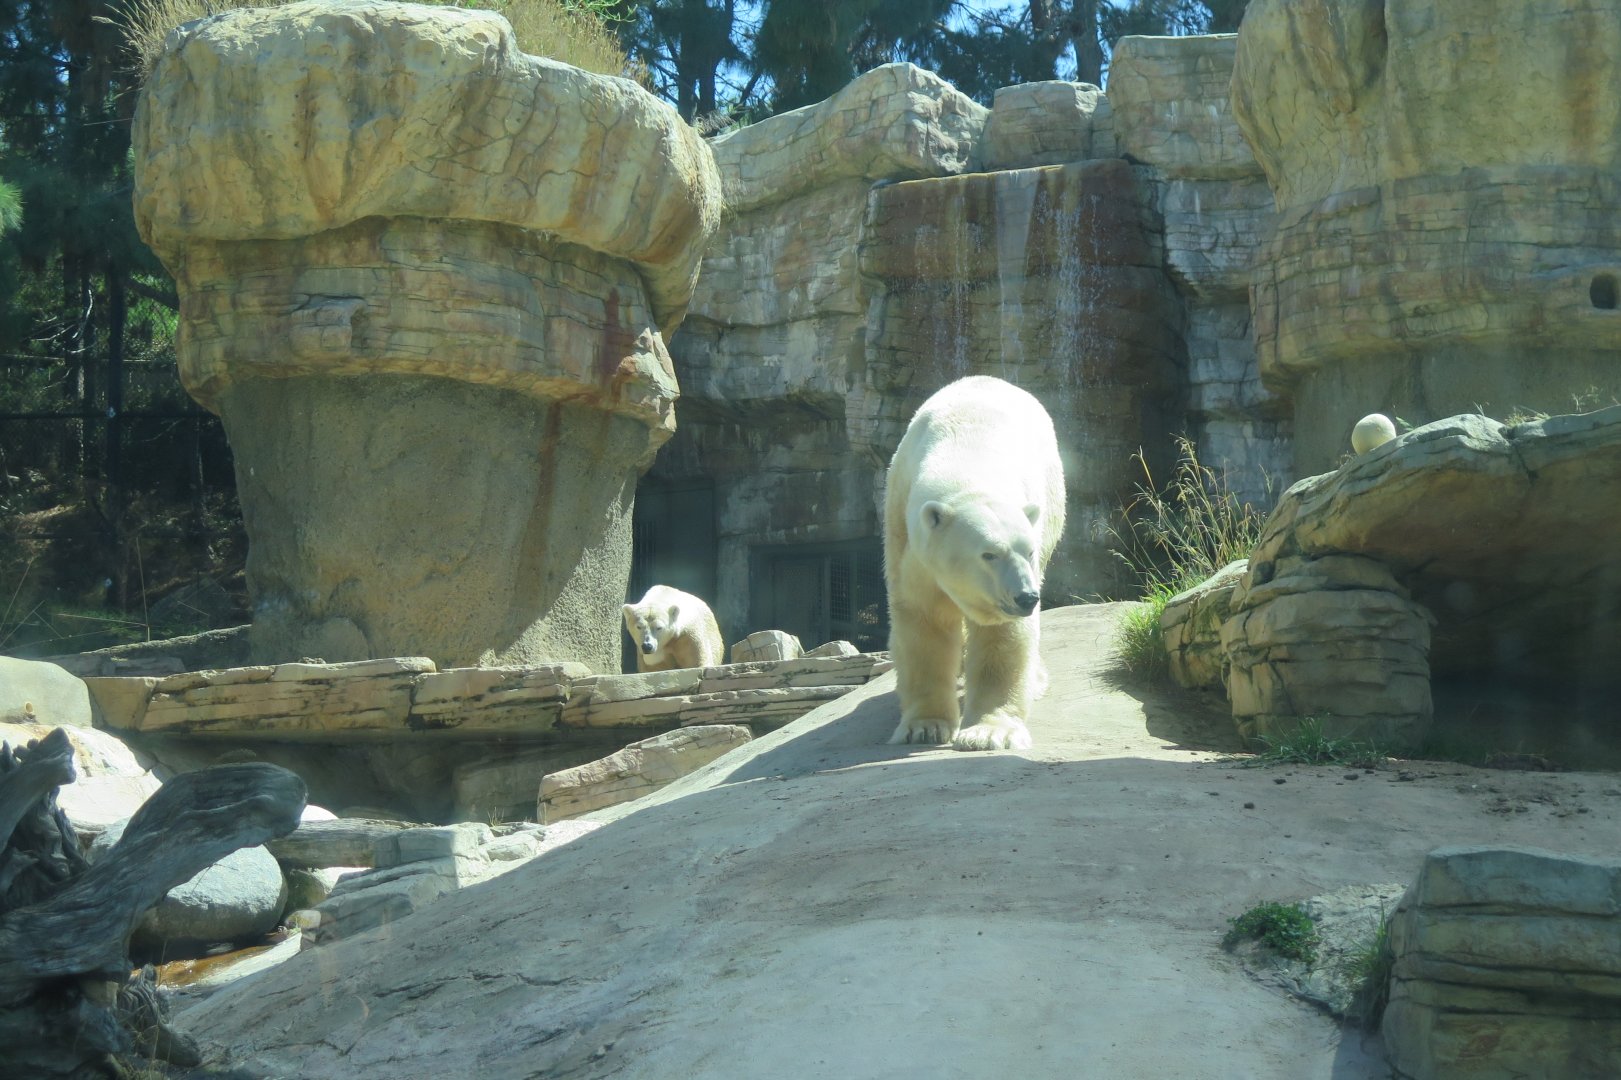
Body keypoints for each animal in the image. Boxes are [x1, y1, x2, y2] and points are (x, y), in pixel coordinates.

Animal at [883, 375, 1066, 752]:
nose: (1026, 597)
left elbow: (1002, 634)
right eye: (989, 554)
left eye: (1027, 551)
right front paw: (924, 727)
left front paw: (989, 732)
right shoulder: (908, 543)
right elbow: (923, 621)